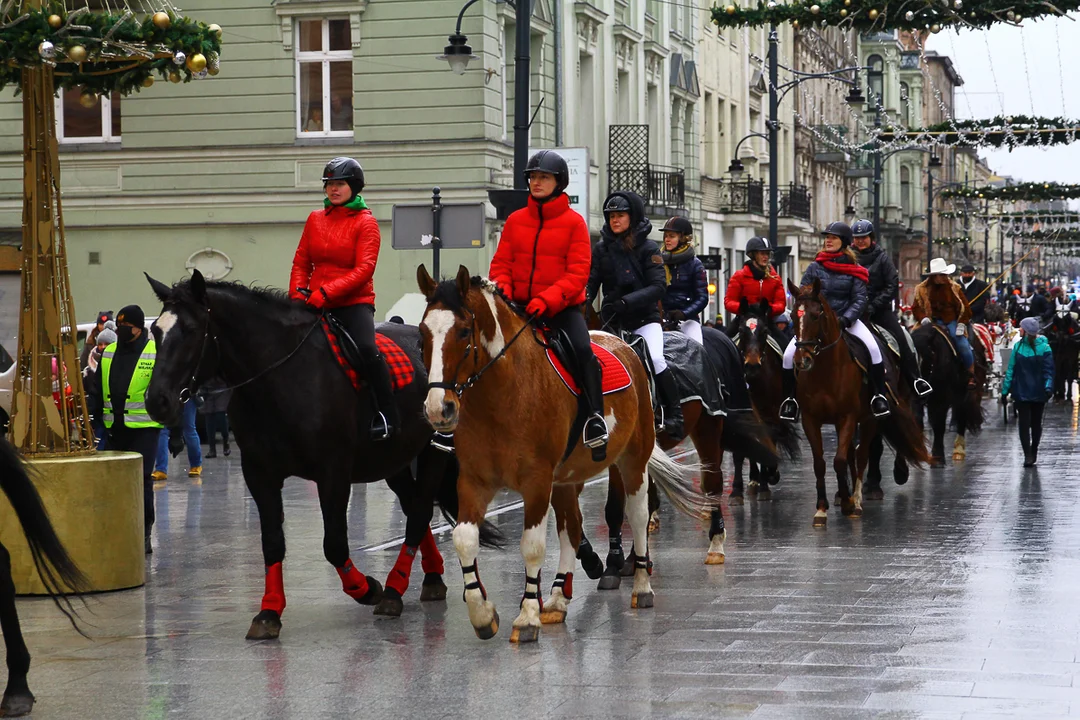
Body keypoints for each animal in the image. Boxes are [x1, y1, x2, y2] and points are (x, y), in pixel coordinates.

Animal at [143, 272, 496, 643]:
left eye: (191, 330)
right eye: (156, 333)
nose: (157, 401)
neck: (281, 378)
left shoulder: (333, 472)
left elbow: (335, 545)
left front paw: (367, 588)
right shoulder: (258, 472)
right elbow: (272, 542)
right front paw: (269, 611)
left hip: (432, 451)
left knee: (418, 514)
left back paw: (396, 589)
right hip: (392, 461)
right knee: (413, 505)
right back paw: (430, 577)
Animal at [414, 267, 708, 643]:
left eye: (464, 331)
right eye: (422, 335)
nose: (439, 409)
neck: (501, 397)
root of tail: (623, 345)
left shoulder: (537, 481)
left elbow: (532, 545)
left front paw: (527, 615)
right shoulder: (474, 480)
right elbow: (465, 539)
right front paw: (483, 615)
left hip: (632, 459)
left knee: (638, 514)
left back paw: (641, 585)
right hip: (566, 477)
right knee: (572, 525)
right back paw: (556, 598)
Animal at [790, 280, 933, 528]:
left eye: (816, 316)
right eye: (791, 316)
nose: (802, 360)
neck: (825, 372)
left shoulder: (847, 417)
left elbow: (841, 460)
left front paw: (850, 502)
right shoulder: (811, 419)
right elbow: (821, 463)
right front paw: (822, 508)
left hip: (880, 411)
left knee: (866, 451)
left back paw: (868, 491)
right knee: (854, 453)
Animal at [911, 321, 989, 468]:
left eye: (928, 358)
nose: (919, 387)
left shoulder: (941, 399)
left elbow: (939, 426)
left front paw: (938, 458)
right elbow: (917, 420)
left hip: (966, 392)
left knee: (962, 415)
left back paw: (959, 450)